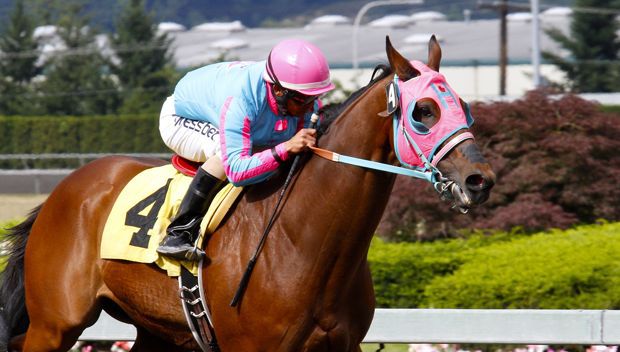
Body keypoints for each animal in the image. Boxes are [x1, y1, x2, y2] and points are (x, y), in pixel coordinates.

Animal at [0, 36, 494, 352]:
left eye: (463, 106)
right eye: (423, 111)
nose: (480, 179)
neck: (304, 244)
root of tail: (64, 191)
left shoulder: (343, 344)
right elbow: (233, 159)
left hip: (156, 331)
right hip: (55, 323)